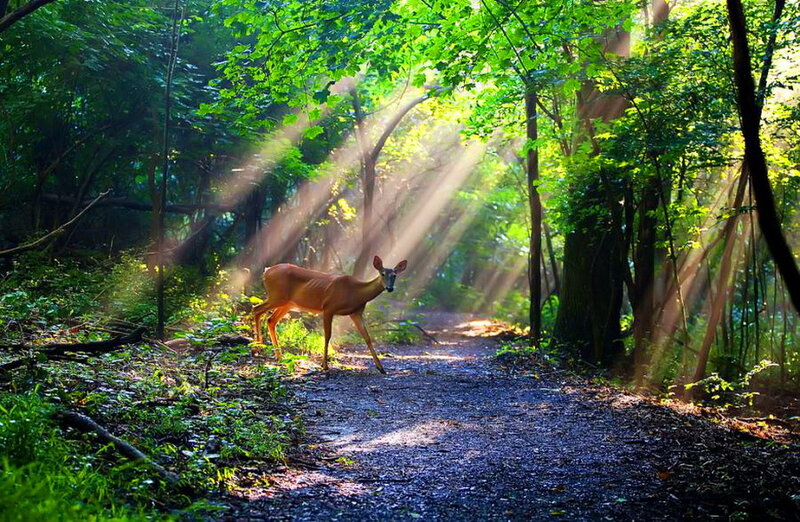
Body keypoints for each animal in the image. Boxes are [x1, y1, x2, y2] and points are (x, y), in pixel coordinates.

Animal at [252, 256, 407, 374]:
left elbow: (367, 337)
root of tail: (266, 271)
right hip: (277, 296)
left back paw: (278, 356)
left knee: (270, 320)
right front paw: (325, 366)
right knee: (256, 309)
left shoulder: (356, 313)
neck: (356, 292)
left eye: (394, 275)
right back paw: (256, 349)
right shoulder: (329, 307)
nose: (390, 288)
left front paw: (381, 368)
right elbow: (327, 336)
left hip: (288, 303)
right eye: (382, 273)